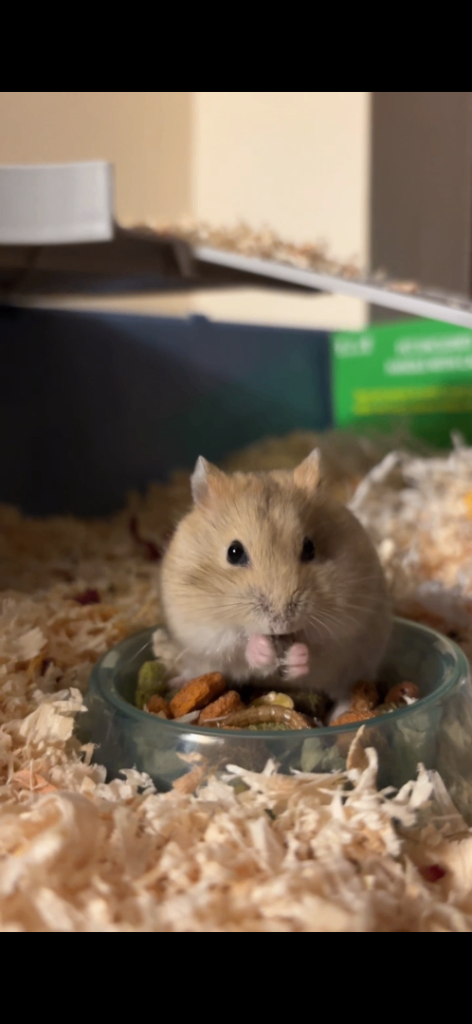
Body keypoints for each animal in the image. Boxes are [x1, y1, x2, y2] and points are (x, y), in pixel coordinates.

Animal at [154, 448, 392, 717]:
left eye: (309, 548)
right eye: (234, 552)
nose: (280, 622)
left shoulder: (345, 625)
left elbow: (320, 645)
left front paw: (295, 658)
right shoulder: (204, 629)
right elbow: (237, 643)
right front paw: (263, 650)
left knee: (344, 692)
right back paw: (179, 682)